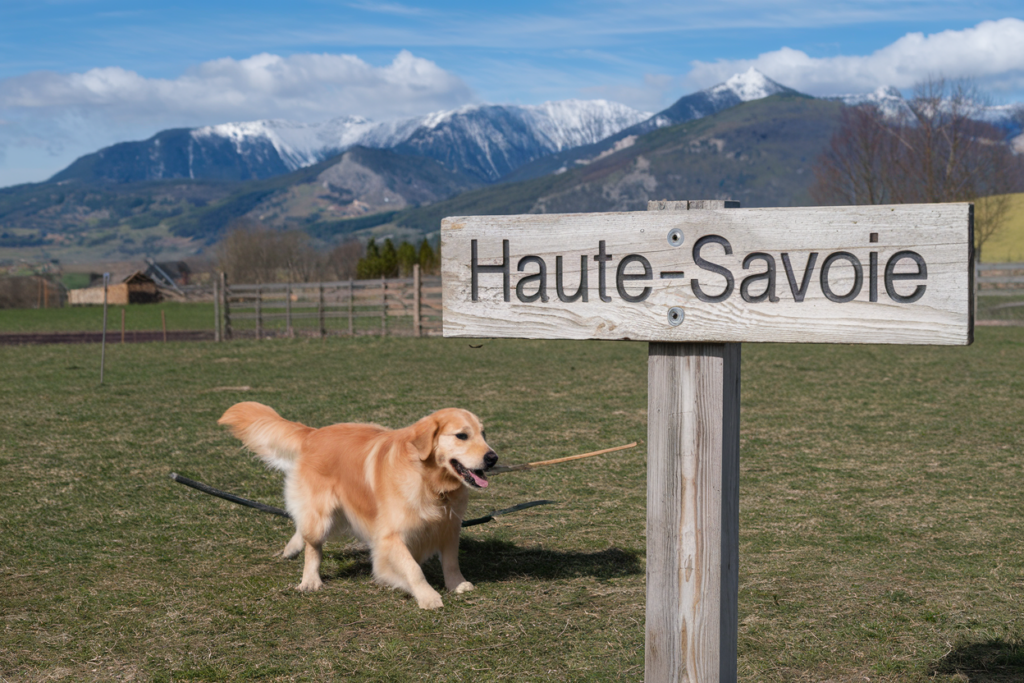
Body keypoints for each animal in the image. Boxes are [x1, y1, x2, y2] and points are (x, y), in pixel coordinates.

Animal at [218, 401, 497, 610]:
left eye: (483, 434)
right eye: (462, 436)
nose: (493, 458)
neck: (429, 481)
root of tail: (313, 433)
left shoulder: (449, 527)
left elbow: (451, 561)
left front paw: (457, 584)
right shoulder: (389, 537)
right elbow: (413, 568)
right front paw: (428, 596)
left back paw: (291, 548)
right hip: (322, 514)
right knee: (313, 544)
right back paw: (310, 580)